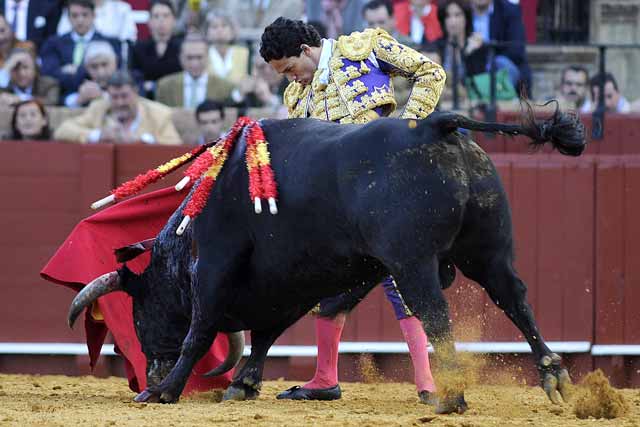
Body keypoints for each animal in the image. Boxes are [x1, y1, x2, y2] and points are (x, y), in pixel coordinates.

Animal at [67, 110, 584, 414]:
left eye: (138, 309)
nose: (149, 371)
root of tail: (436, 125)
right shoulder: (290, 282)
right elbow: (267, 333)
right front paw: (244, 384)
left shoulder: (215, 263)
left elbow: (200, 328)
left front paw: (163, 391)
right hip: (488, 251)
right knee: (514, 298)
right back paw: (553, 374)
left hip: (412, 262)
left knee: (434, 313)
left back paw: (451, 395)